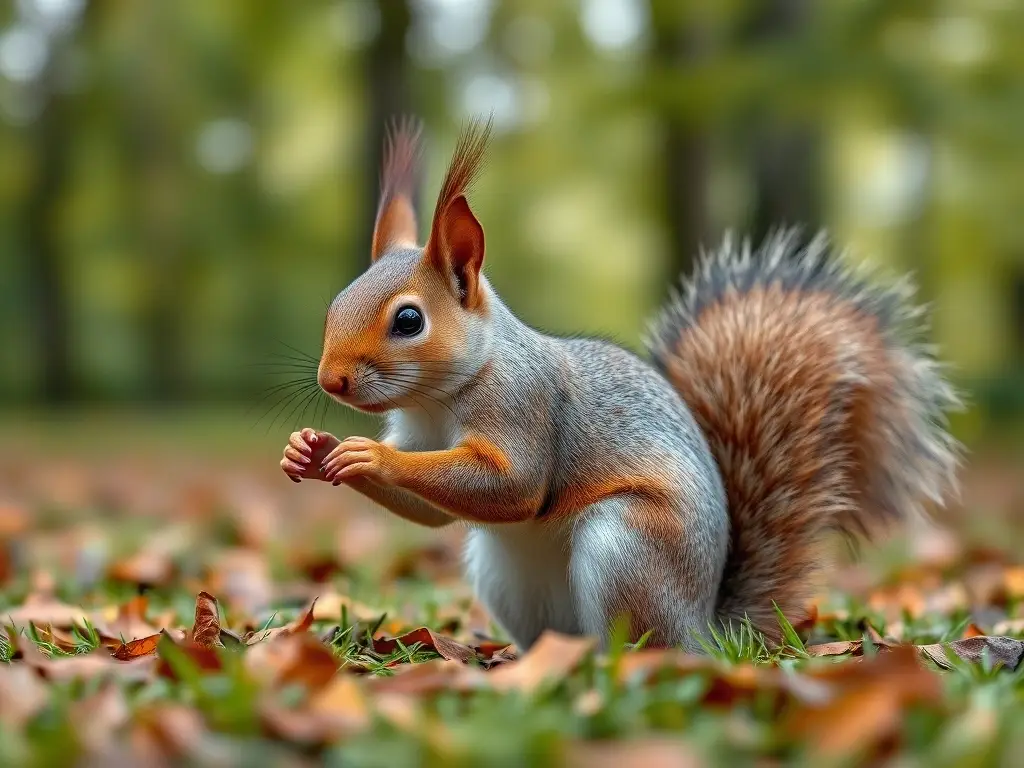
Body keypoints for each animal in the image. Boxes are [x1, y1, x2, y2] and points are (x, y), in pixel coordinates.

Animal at [279, 117, 961, 651]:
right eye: (334, 305)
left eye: (409, 321)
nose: (331, 380)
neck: (439, 398)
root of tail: (705, 629)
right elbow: (427, 513)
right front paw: (310, 452)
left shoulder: (524, 407)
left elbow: (513, 486)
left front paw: (369, 454)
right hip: (506, 574)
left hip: (627, 549)